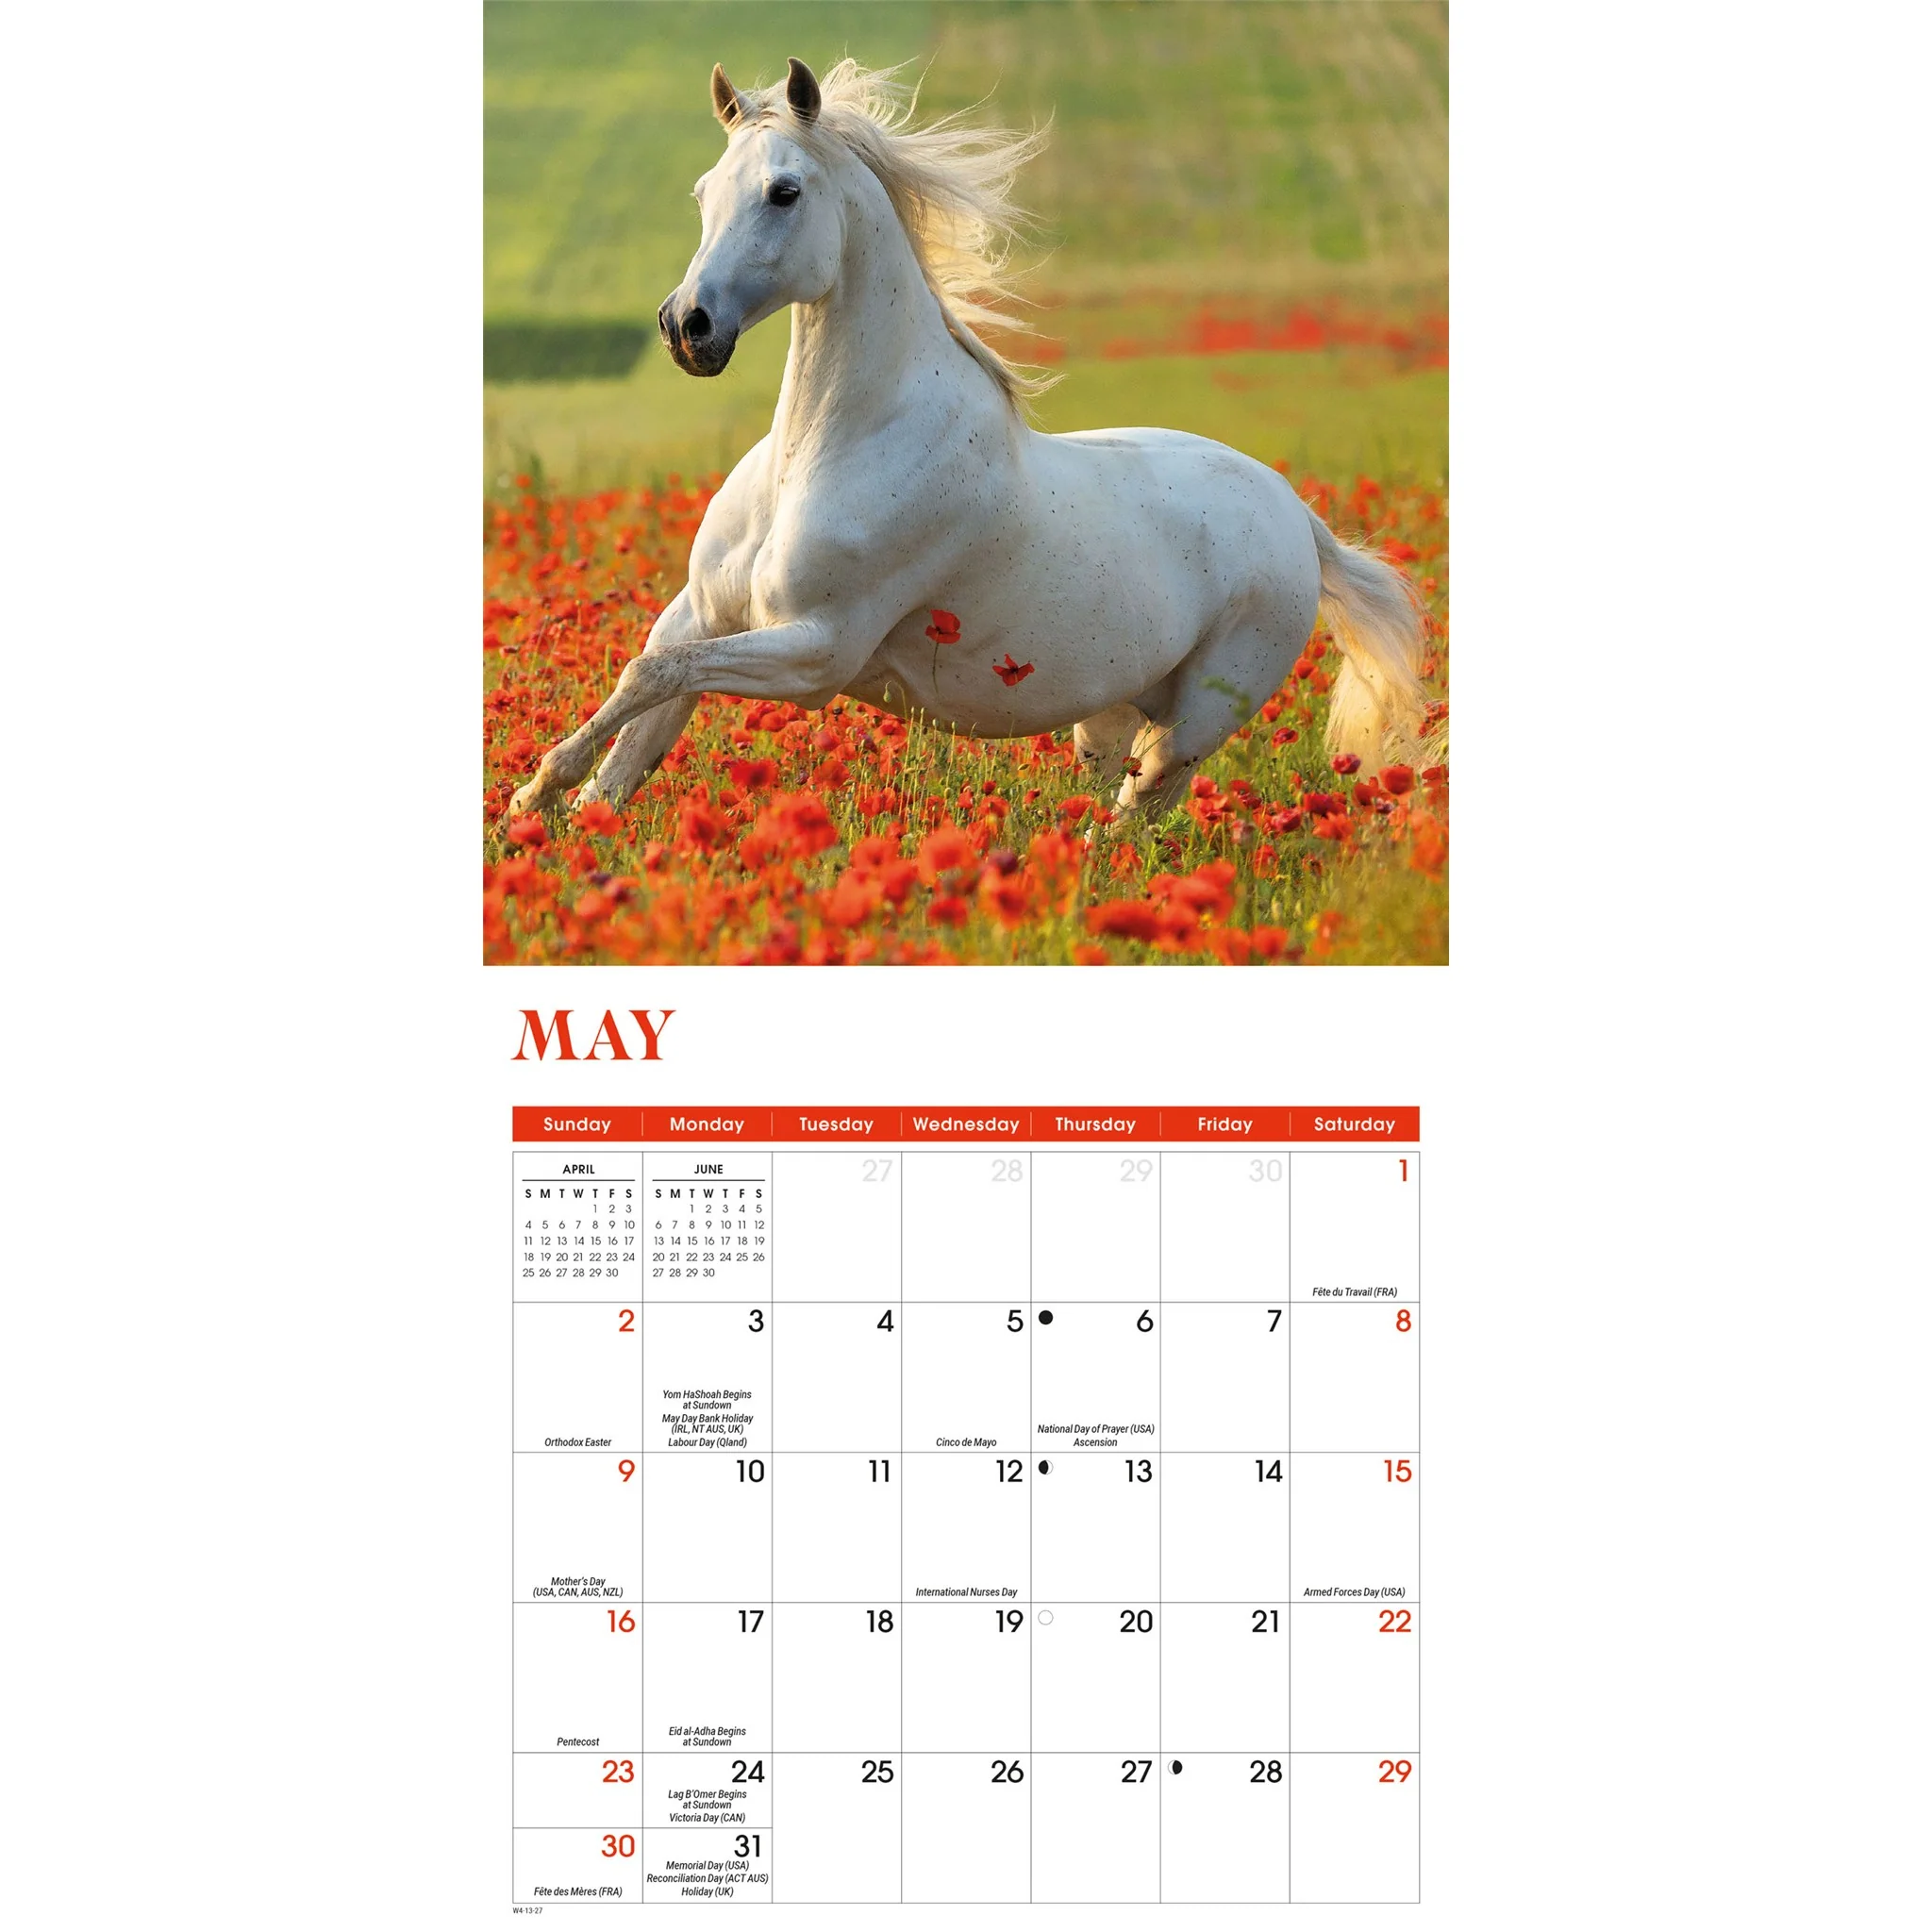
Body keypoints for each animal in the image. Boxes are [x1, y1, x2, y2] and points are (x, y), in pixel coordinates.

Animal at [506, 56, 1431, 826]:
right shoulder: (700, 613)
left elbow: (647, 678)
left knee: (1135, 825)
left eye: (784, 192)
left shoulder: (817, 652)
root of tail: (1299, 519)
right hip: (1106, 716)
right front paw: (550, 810)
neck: (823, 452)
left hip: (1190, 726)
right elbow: (637, 726)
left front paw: (533, 786)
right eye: (704, 192)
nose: (686, 328)